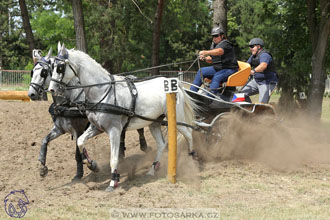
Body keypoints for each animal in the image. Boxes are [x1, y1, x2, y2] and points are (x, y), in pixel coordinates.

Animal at [29, 47, 148, 179]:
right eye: (32, 72)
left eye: (44, 72)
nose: (31, 94)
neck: (67, 103)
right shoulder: (59, 129)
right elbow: (44, 141)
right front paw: (42, 167)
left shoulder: (78, 130)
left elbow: (77, 153)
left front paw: (81, 172)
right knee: (122, 133)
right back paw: (121, 153)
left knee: (140, 129)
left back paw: (144, 146)